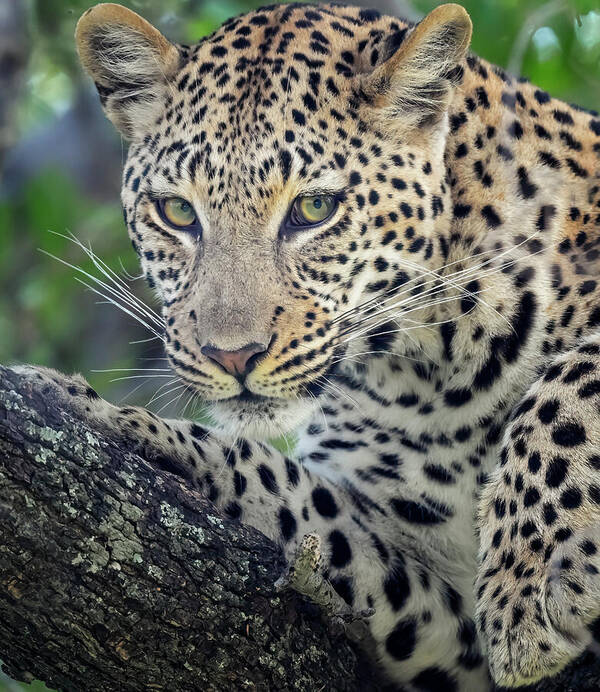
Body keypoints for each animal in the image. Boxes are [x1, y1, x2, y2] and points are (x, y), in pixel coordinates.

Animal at [16, 1, 600, 689]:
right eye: (178, 214)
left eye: (315, 208)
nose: (233, 355)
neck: (427, 374)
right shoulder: (447, 629)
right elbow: (288, 489)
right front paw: (102, 416)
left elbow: (572, 378)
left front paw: (529, 583)